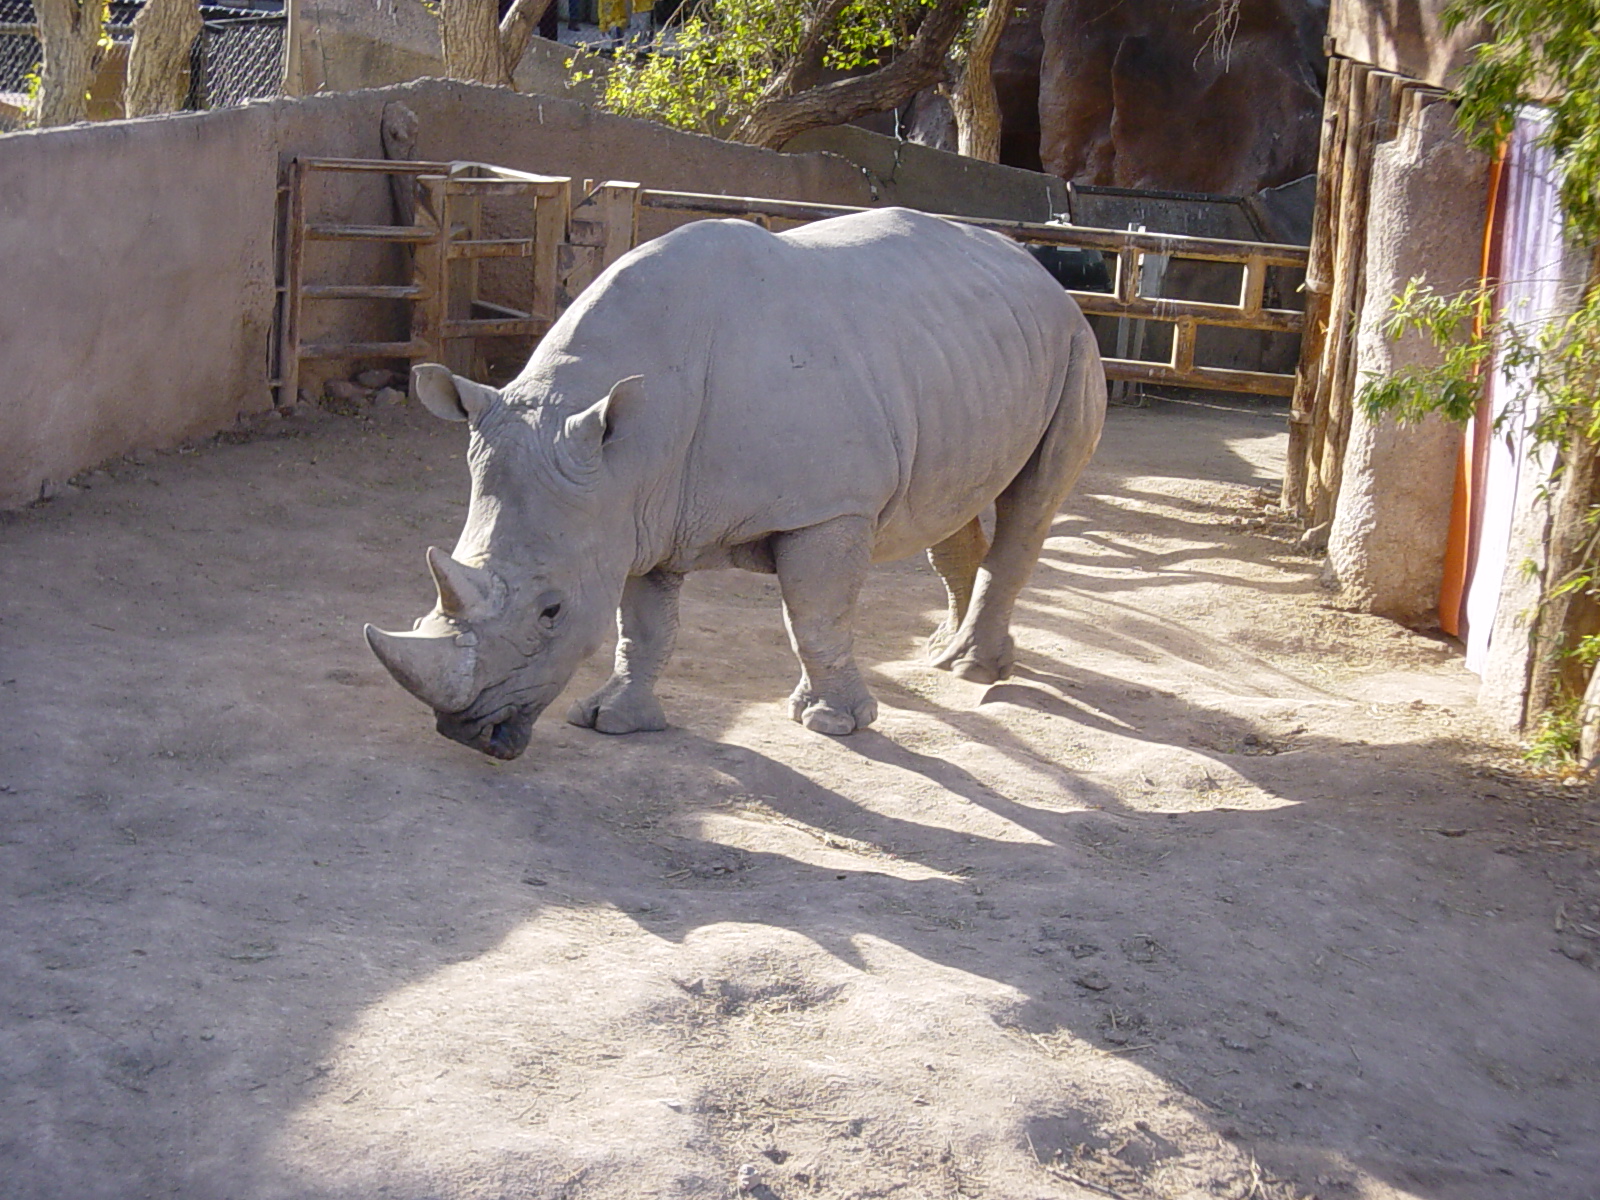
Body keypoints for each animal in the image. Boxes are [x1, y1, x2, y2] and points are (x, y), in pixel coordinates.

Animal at [365, 207, 1106, 760]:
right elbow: (643, 625)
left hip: (1074, 340)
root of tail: (1036, 266)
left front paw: (835, 725)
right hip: (968, 355)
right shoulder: (636, 510)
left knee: (1032, 501)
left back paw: (971, 670)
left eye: (552, 612)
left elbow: (813, 615)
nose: (467, 735)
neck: (630, 444)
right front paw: (613, 721)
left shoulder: (826, 507)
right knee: (950, 505)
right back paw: (946, 654)